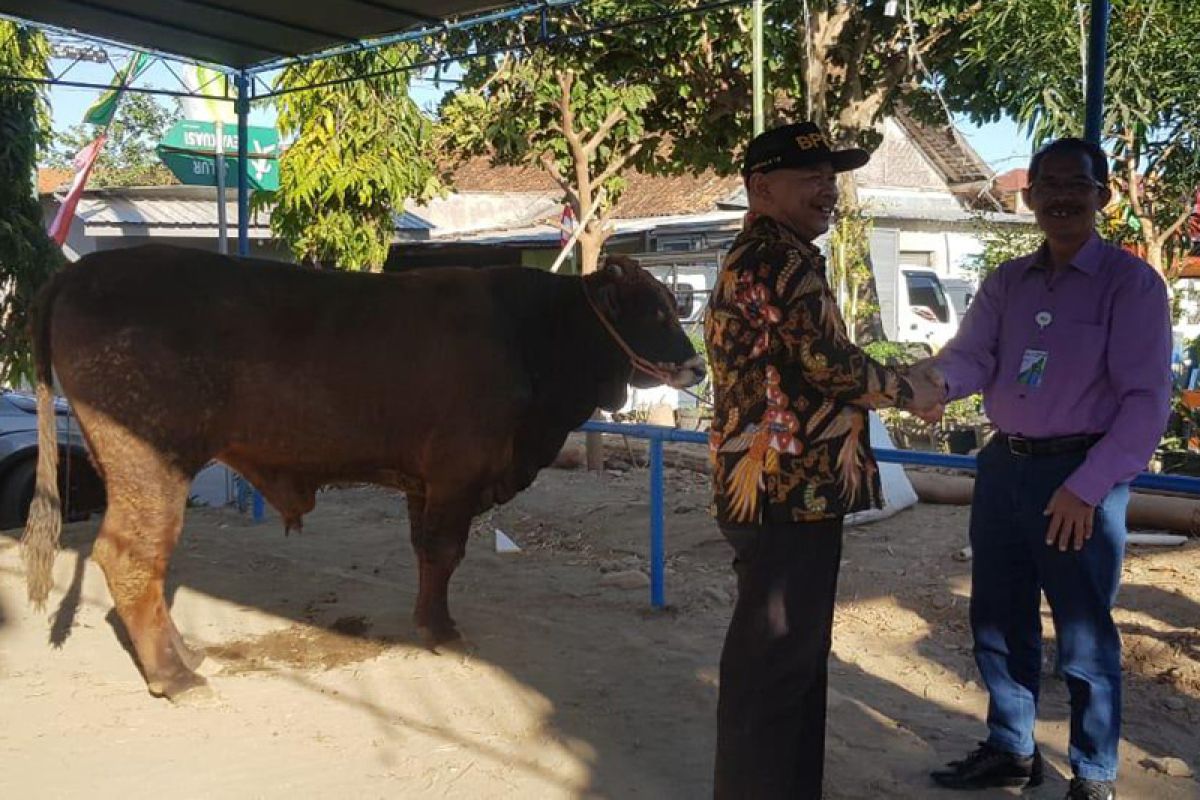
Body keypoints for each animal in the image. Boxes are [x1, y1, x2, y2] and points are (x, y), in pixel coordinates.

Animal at [21, 244, 700, 700]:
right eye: (654, 312)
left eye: (675, 304)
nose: (695, 367)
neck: (531, 332)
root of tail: (80, 271)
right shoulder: (456, 478)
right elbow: (445, 552)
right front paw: (444, 631)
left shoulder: (424, 484)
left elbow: (427, 554)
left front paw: (428, 621)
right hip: (151, 464)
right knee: (130, 555)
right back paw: (175, 675)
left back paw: (186, 655)